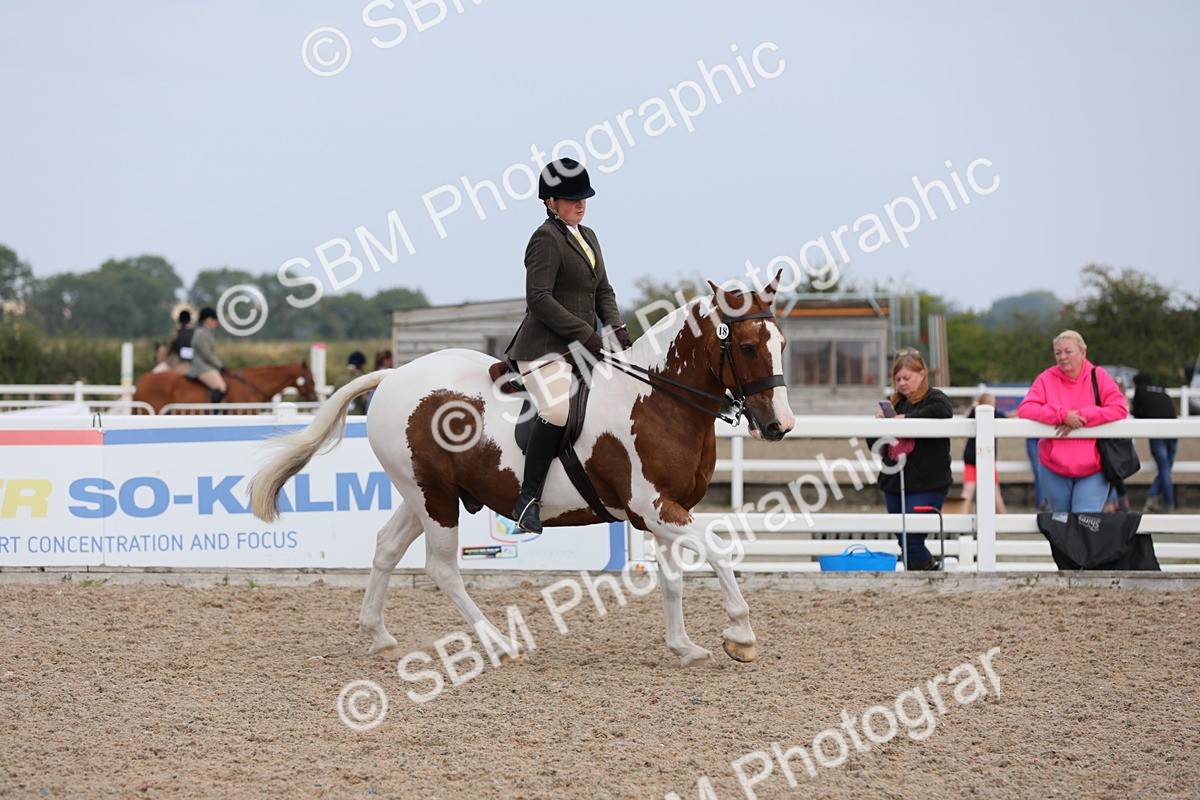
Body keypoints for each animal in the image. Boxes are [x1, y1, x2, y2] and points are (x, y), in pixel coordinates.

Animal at [249, 275, 795, 667]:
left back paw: (379, 636)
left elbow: (673, 580)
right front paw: (740, 636)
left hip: (420, 492)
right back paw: (498, 644)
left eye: (782, 344)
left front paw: (683, 646)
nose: (779, 426)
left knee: (386, 548)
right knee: (442, 569)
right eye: (748, 346)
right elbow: (719, 551)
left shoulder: (666, 511)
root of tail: (395, 376)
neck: (658, 397)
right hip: (434, 497)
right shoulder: (653, 507)